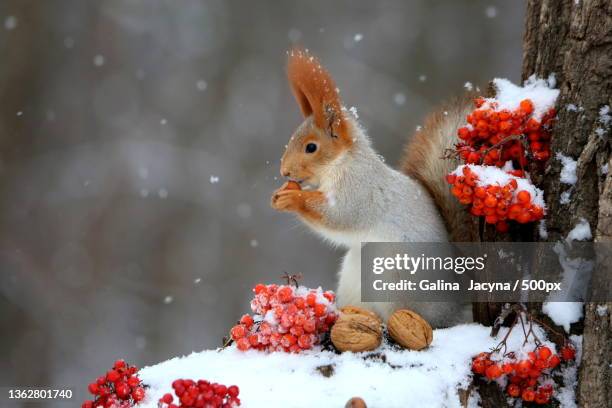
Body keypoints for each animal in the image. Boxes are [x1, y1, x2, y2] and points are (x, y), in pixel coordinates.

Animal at [272, 48, 478, 328]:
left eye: (311, 147)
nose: (285, 172)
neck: (341, 164)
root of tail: (454, 305)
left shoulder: (360, 191)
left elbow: (339, 216)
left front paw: (292, 198)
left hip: (395, 279)